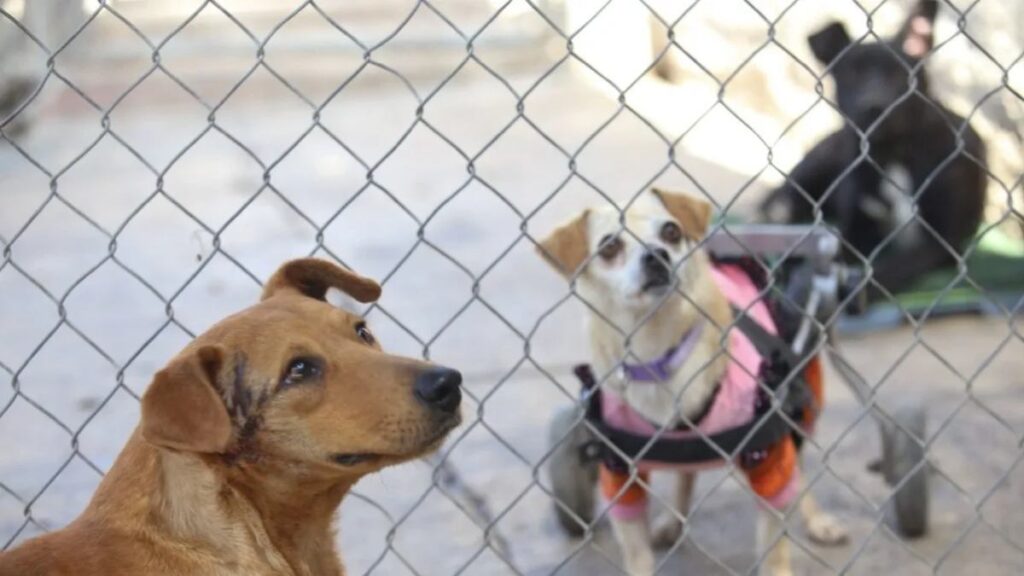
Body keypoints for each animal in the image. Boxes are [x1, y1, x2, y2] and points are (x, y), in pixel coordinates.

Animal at [540, 189, 843, 573]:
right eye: (609, 247)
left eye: (671, 231)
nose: (657, 255)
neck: (658, 356)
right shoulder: (620, 475)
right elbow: (637, 554)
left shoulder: (770, 457)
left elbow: (774, 550)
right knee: (687, 472)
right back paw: (673, 522)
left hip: (795, 412)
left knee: (799, 474)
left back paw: (817, 520)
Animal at [761, 0, 983, 295]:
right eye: (851, 75)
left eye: (899, 73)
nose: (874, 108)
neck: (894, 153)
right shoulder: (860, 230)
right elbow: (838, 247)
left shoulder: (940, 243)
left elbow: (883, 269)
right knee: (781, 205)